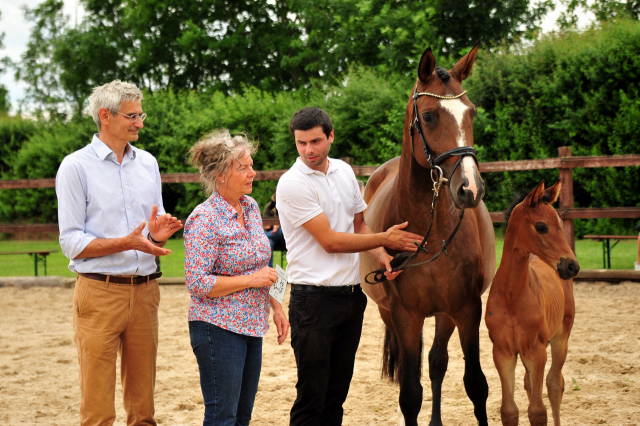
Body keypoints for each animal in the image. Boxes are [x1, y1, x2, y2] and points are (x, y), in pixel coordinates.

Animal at [360, 45, 496, 424]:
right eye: (431, 116)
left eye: (472, 113)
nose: (470, 189)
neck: (431, 233)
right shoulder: (404, 315)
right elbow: (410, 393)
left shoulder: (467, 309)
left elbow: (476, 384)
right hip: (390, 313)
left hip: (445, 314)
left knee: (437, 362)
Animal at [484, 181, 580, 426]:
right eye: (541, 226)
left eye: (560, 224)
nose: (572, 266)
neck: (512, 296)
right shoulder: (503, 352)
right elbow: (509, 410)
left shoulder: (536, 351)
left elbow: (538, 410)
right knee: (530, 384)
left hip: (560, 338)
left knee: (555, 383)